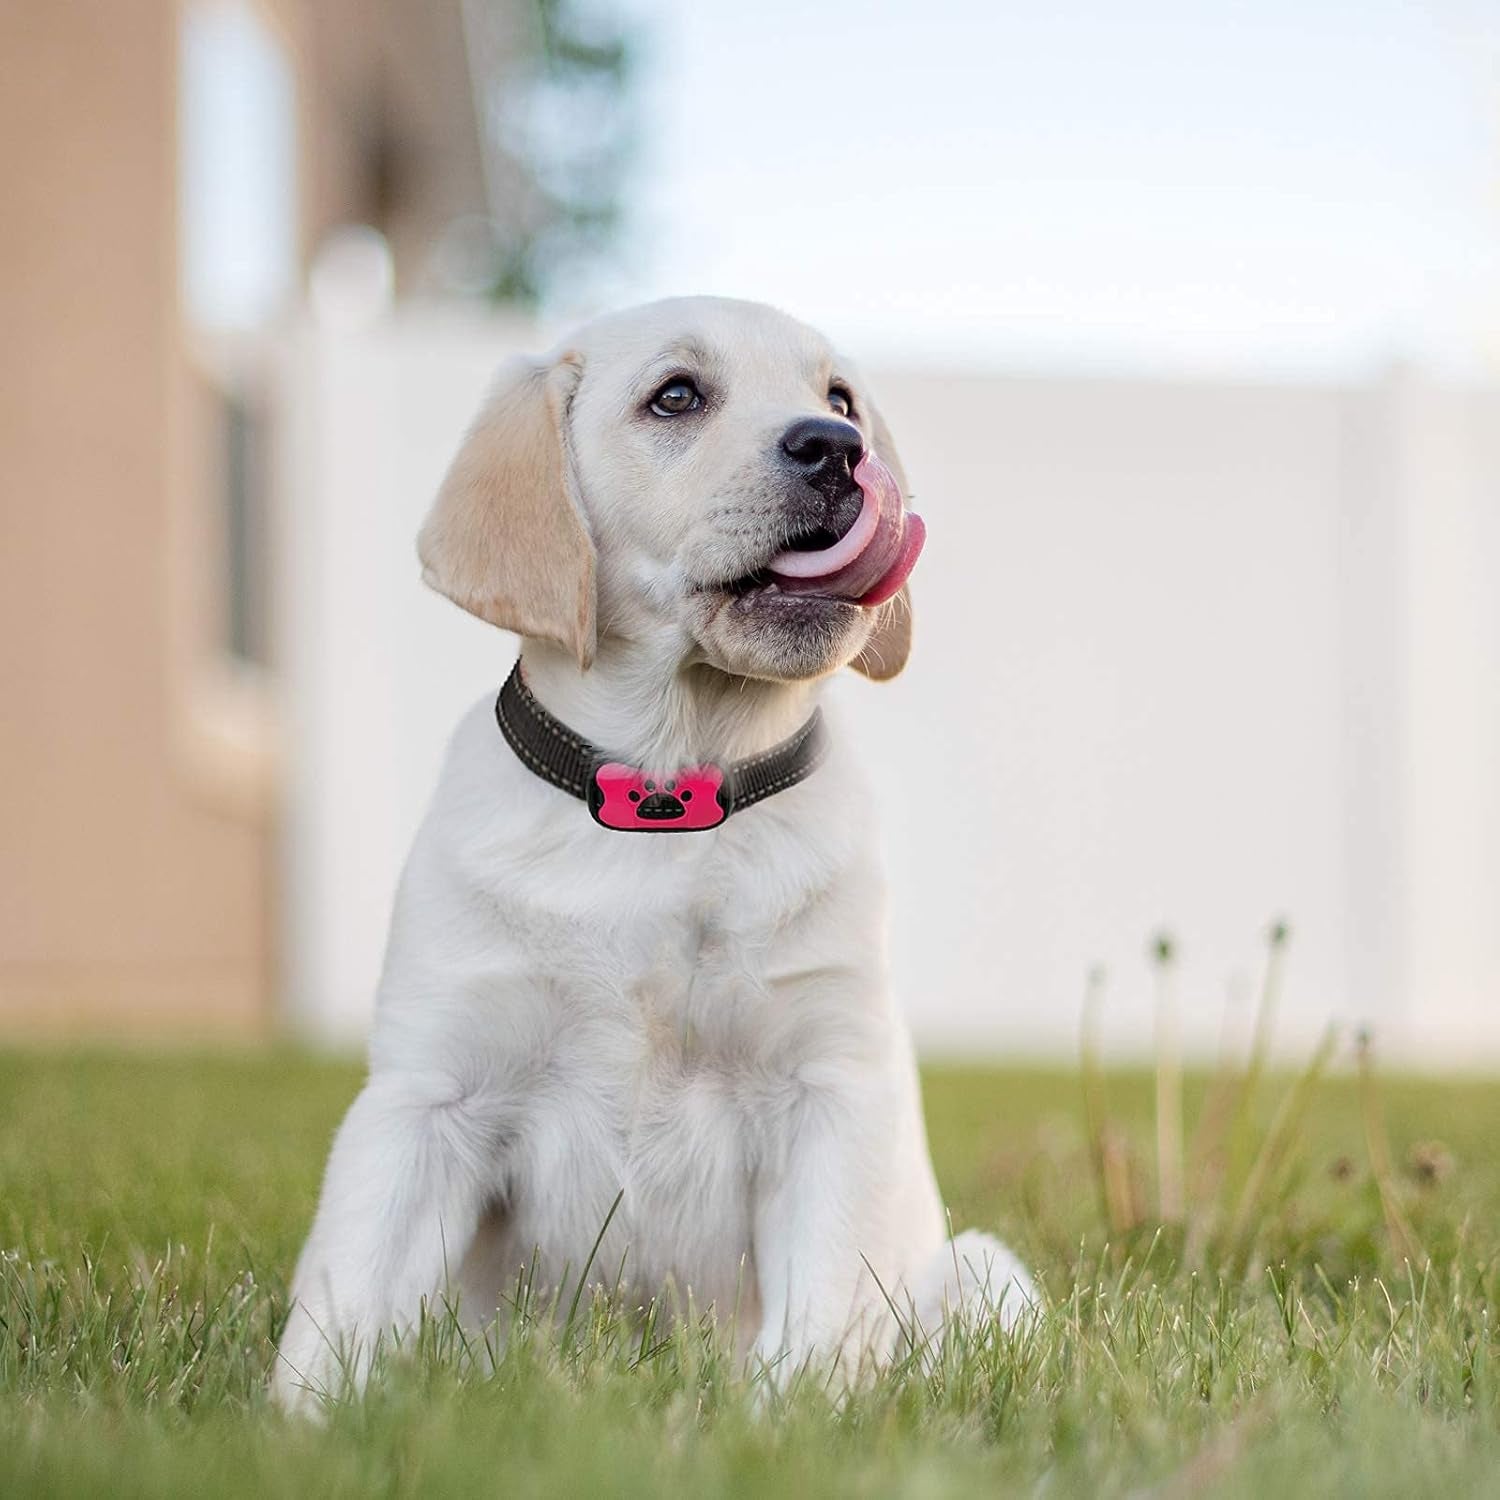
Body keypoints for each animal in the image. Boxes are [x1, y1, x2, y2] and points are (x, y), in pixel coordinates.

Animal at [273, 295, 1032, 1404]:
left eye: (840, 398)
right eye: (677, 396)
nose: (838, 449)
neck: (671, 798)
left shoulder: (830, 1090)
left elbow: (819, 1316)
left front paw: (788, 1418)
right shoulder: (428, 1096)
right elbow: (345, 1299)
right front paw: (306, 1422)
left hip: (986, 1270)